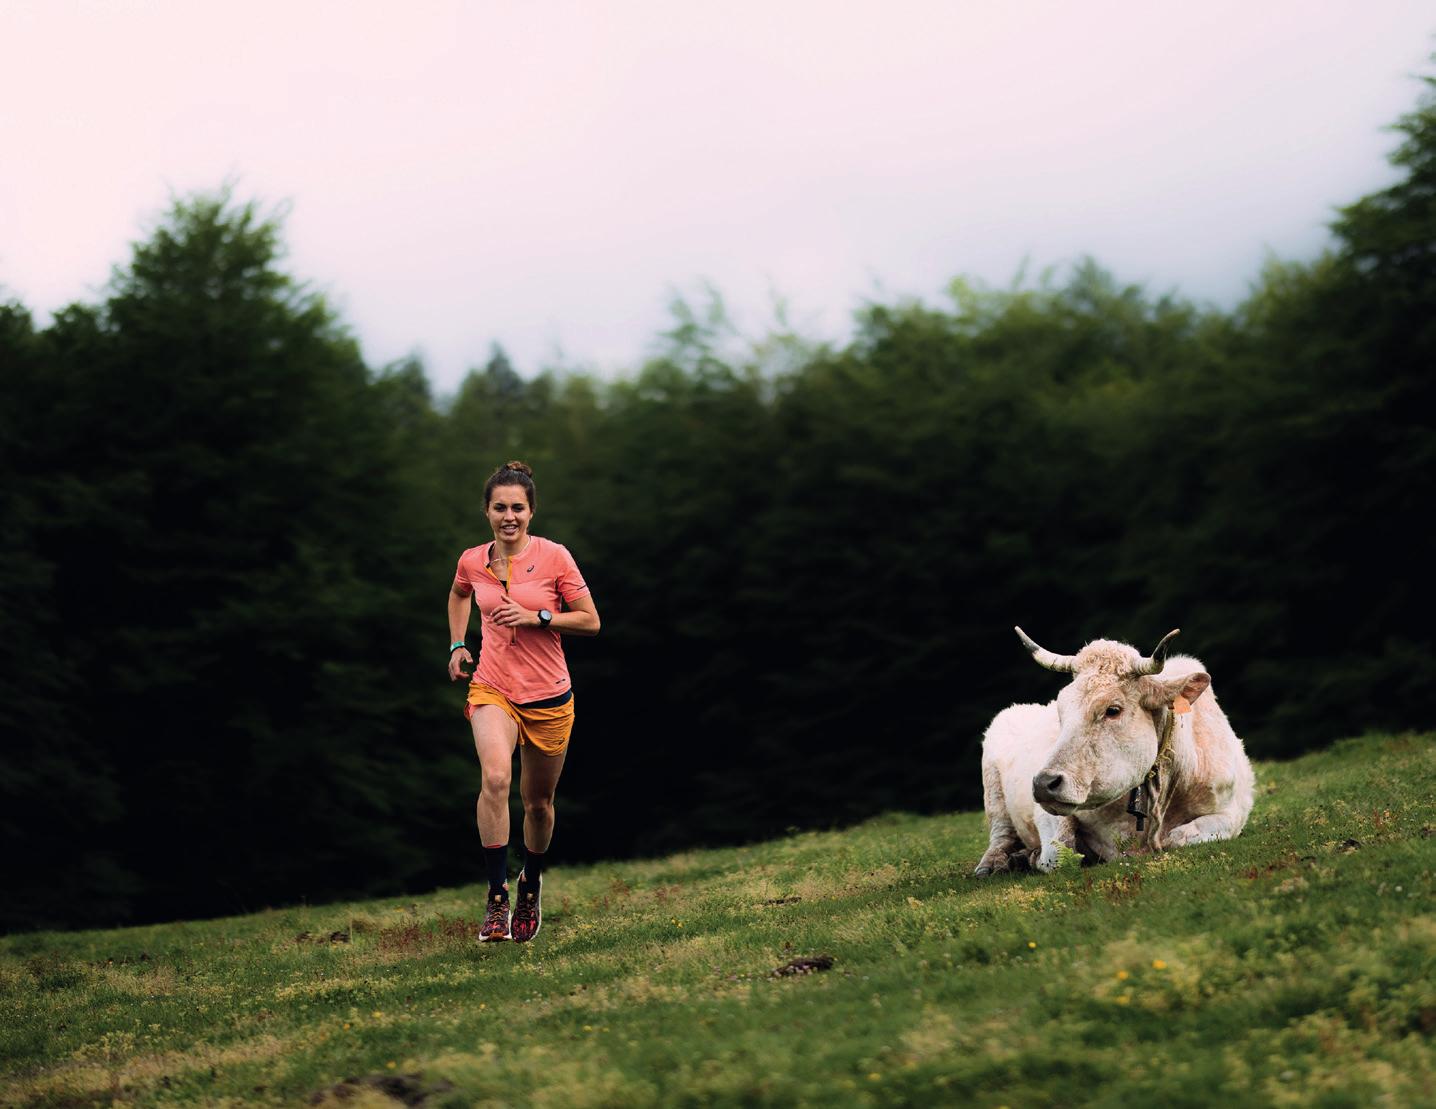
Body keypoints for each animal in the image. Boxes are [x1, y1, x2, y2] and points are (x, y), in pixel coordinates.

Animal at [973, 627, 1254, 876]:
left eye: (1112, 710)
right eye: (1061, 710)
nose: (1044, 783)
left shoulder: (1233, 811)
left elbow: (1177, 838)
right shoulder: (1047, 812)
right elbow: (1059, 853)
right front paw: (1032, 857)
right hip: (994, 793)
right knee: (1000, 836)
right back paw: (995, 864)